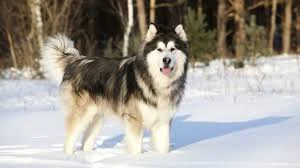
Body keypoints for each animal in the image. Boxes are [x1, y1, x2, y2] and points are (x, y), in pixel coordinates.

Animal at [40, 24, 188, 155]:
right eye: (159, 49)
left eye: (173, 49)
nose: (166, 60)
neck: (155, 80)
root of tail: (75, 61)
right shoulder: (133, 119)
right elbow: (136, 148)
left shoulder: (163, 121)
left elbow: (163, 147)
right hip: (81, 114)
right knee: (70, 140)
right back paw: (69, 158)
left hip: (96, 117)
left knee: (86, 141)